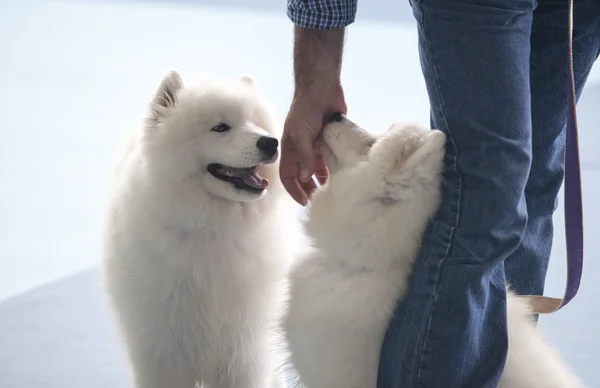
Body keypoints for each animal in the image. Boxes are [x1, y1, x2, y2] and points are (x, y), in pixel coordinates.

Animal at [102, 70, 294, 388]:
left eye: (255, 123)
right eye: (220, 127)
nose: (271, 143)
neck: (214, 227)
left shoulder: (243, 352)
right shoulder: (165, 353)